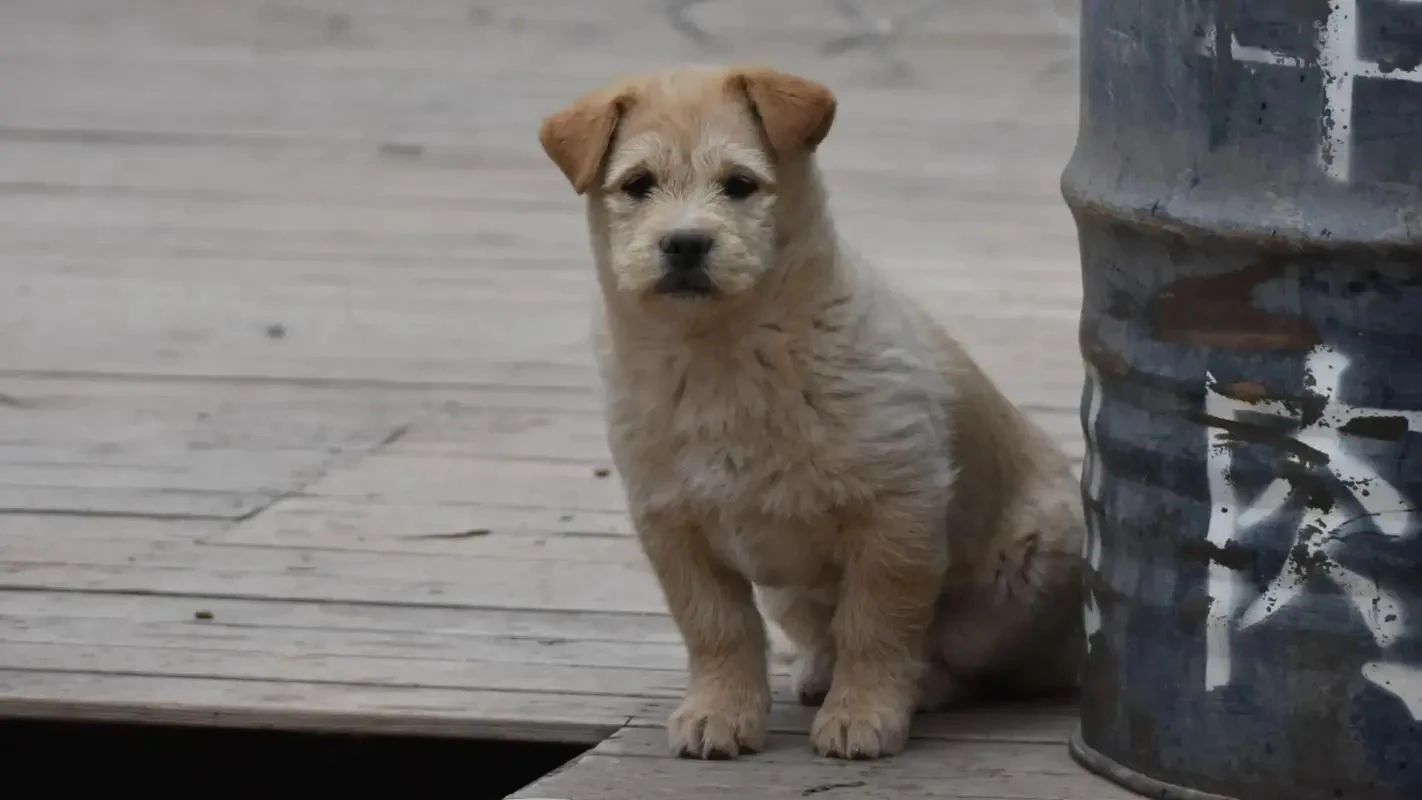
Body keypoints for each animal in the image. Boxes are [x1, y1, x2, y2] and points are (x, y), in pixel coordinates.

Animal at [537, 65, 1080, 761]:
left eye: (740, 185)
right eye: (638, 184)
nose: (685, 243)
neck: (724, 355)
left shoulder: (896, 510)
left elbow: (877, 626)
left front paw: (862, 715)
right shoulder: (672, 524)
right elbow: (717, 629)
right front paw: (720, 712)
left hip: (1025, 575)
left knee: (981, 664)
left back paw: (921, 685)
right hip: (788, 593)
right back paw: (821, 672)